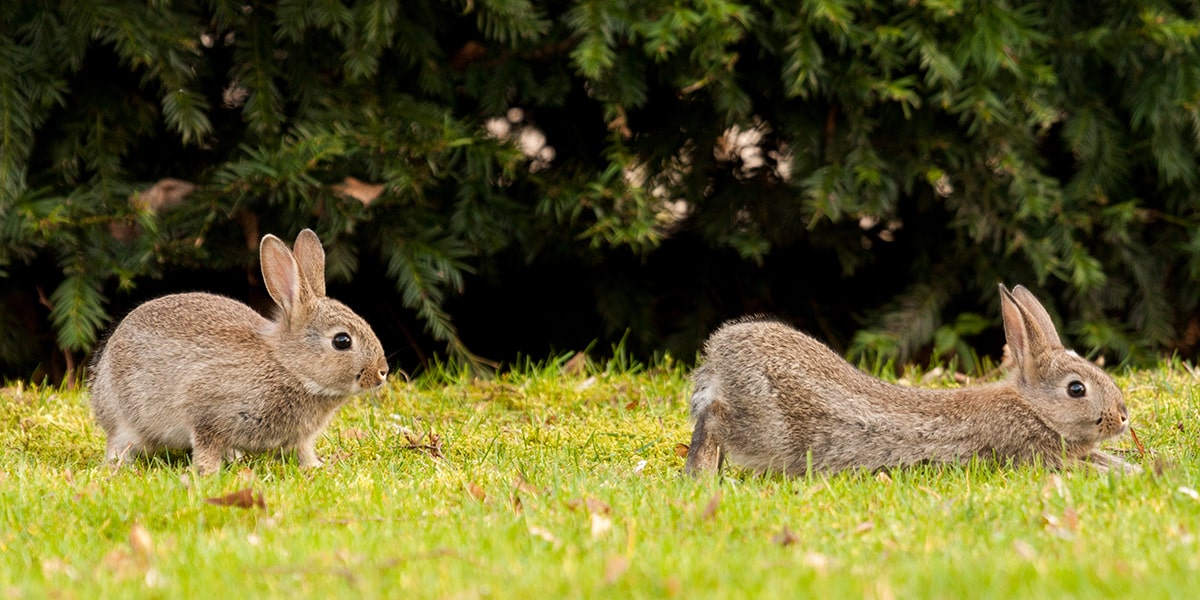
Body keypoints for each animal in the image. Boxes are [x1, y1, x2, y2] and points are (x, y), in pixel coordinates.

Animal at [89, 228, 388, 472]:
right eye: (342, 341)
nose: (382, 372)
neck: (289, 367)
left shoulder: (300, 437)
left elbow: (303, 451)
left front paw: (315, 466)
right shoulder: (206, 412)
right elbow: (206, 444)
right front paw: (207, 473)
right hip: (125, 420)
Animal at [681, 283, 1137, 475]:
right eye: (1076, 389)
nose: (1122, 417)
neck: (1034, 408)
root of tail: (721, 352)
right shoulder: (1031, 453)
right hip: (767, 428)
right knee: (714, 421)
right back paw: (699, 475)